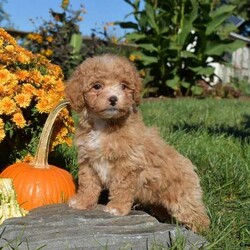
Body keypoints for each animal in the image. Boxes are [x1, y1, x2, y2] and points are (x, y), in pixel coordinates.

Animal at [64, 54, 209, 232]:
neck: (104, 125)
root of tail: (190, 166)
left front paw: (117, 208)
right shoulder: (88, 160)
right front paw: (82, 201)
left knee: (196, 214)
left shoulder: (127, 164)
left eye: (124, 86)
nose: (113, 99)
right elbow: (88, 184)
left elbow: (121, 187)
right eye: (97, 86)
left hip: (182, 196)